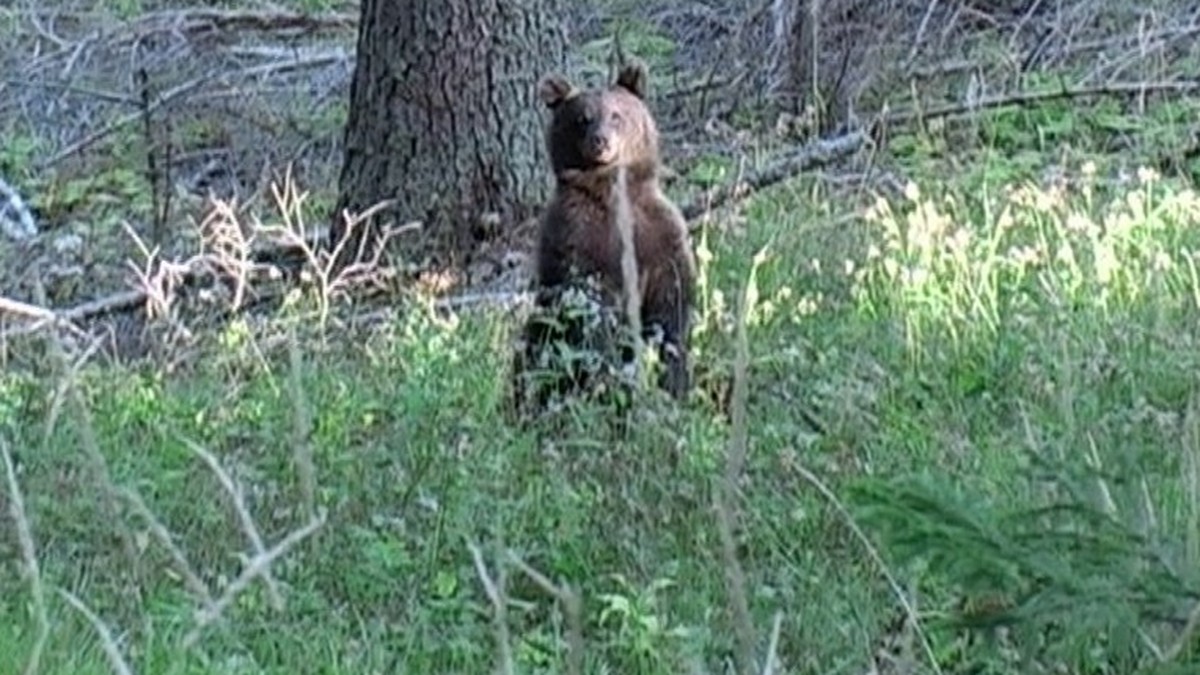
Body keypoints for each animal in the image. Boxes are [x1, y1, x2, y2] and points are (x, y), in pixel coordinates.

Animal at [510, 59, 696, 418]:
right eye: (582, 118)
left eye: (616, 115)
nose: (600, 141)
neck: (611, 191)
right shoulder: (578, 239)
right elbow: (593, 309)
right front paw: (613, 380)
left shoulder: (656, 235)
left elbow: (672, 301)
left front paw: (672, 377)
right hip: (543, 333)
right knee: (535, 358)